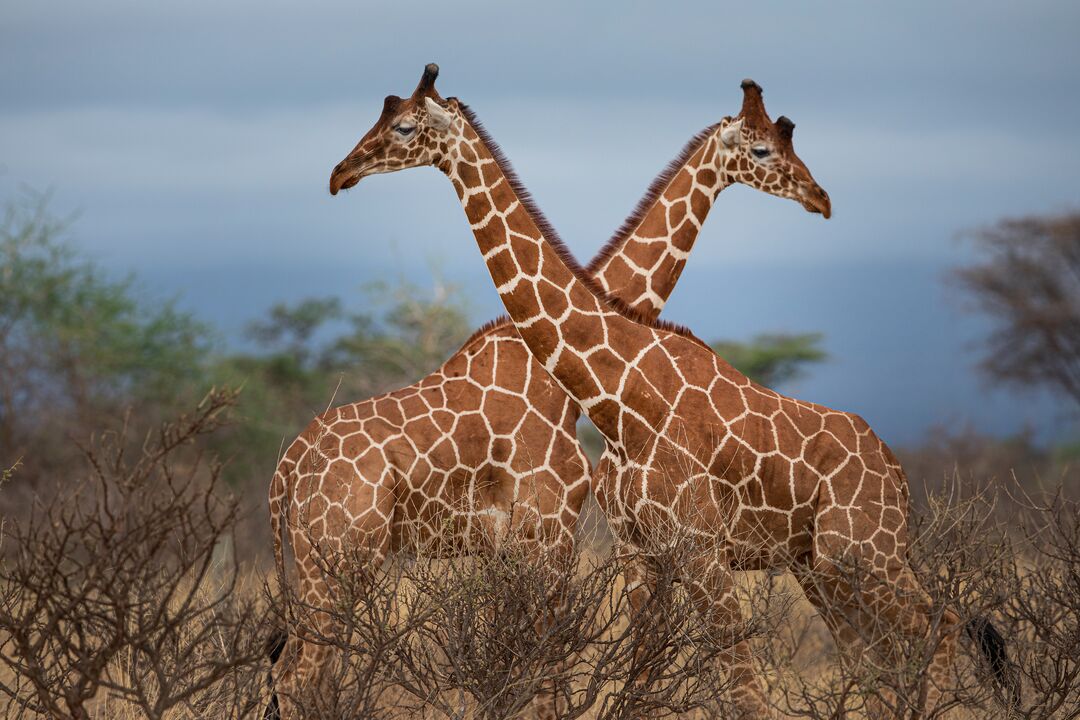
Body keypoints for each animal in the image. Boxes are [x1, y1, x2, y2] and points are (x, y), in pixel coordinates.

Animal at [267, 69, 825, 720]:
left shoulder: (515, 544)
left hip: (320, 563)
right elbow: (545, 676)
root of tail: (284, 472)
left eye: (401, 123)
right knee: (299, 676)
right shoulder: (550, 527)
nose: (342, 172)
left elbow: (522, 671)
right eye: (763, 149)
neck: (566, 381)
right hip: (338, 559)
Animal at [326, 64, 1010, 716]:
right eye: (763, 148)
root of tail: (895, 471)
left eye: (405, 126)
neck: (618, 400)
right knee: (881, 659)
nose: (340, 172)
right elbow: (639, 685)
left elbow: (741, 692)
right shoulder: (640, 553)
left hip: (864, 553)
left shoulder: (698, 550)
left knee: (940, 626)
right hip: (825, 567)